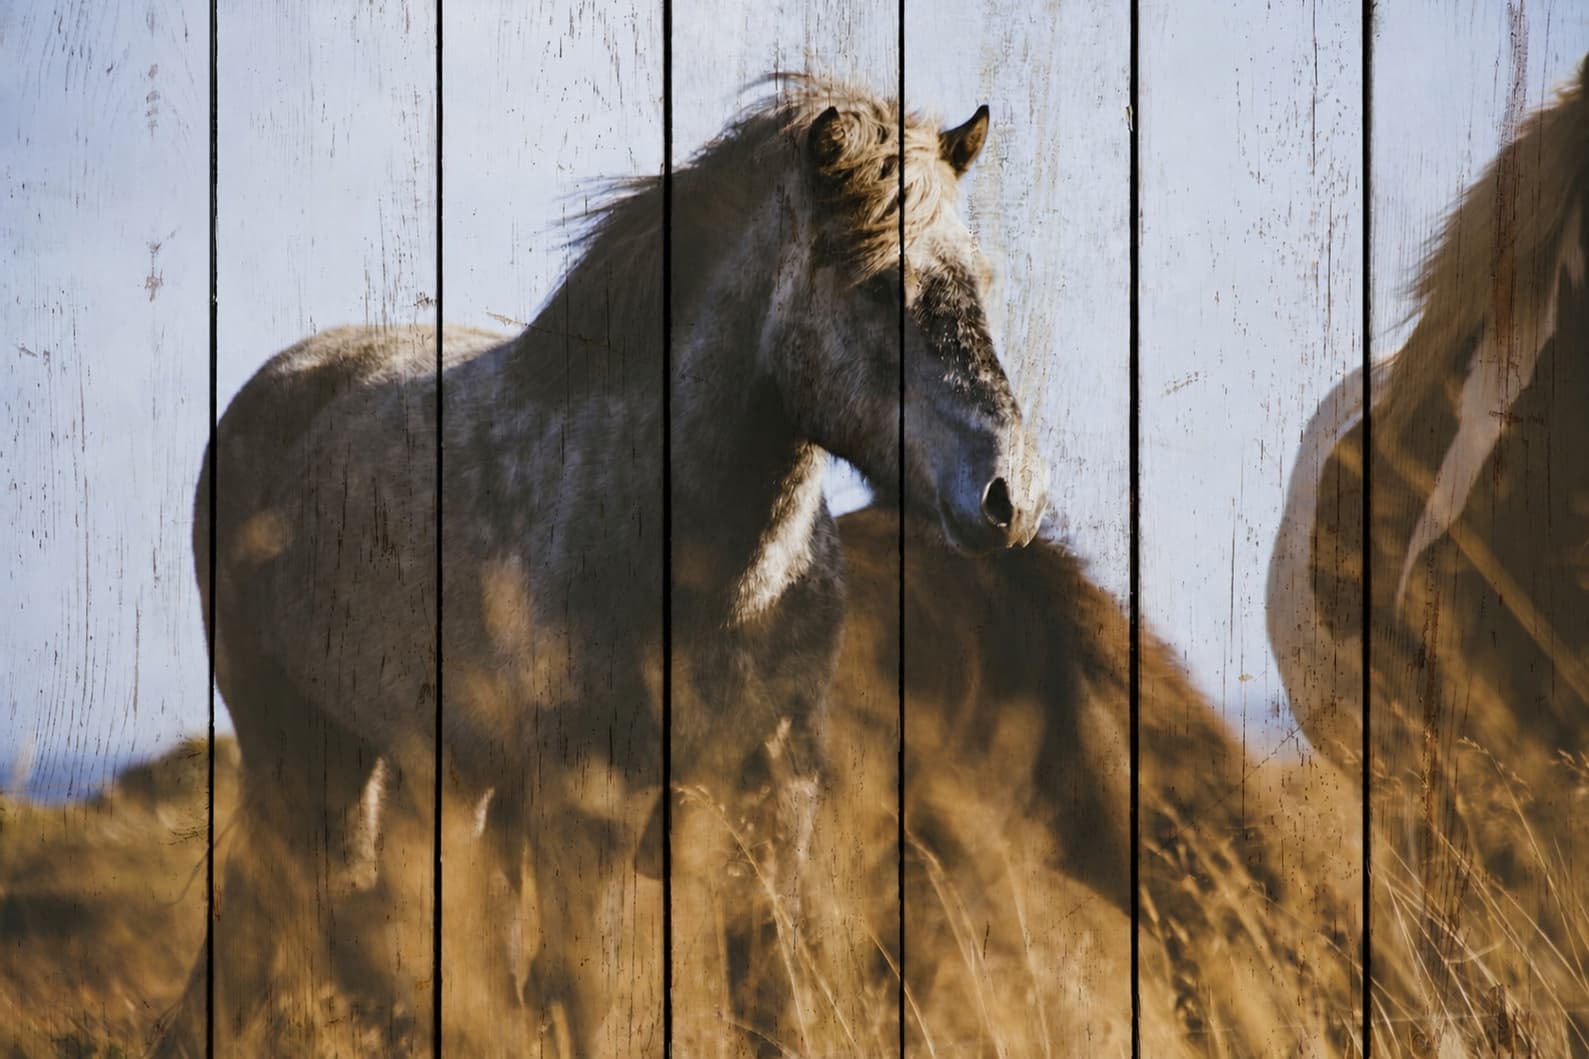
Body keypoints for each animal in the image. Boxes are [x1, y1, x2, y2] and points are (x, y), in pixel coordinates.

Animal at [155, 74, 1049, 1056]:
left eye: (983, 282)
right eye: (876, 286)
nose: (1010, 496)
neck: (713, 579)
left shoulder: (774, 816)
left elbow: (772, 1002)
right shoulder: (584, 824)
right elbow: (585, 1000)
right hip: (306, 757)